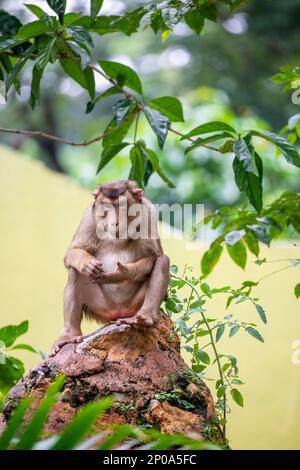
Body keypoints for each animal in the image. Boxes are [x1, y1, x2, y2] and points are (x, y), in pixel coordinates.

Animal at [49, 180, 169, 356]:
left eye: (121, 206)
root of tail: (118, 311)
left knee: (162, 261)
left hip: (134, 305)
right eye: (106, 208)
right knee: (75, 272)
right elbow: (73, 251)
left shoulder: (148, 212)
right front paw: (87, 263)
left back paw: (145, 319)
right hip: (102, 307)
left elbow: (153, 256)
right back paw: (69, 336)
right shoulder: (88, 216)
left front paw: (121, 273)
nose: (115, 222)